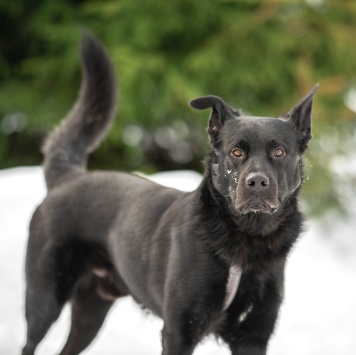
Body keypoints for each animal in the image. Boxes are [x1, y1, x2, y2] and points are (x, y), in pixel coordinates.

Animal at [22, 32, 318, 354]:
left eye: (279, 152)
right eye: (236, 152)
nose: (257, 182)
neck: (246, 240)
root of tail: (68, 177)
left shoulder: (253, 338)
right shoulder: (178, 331)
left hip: (91, 311)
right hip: (45, 300)